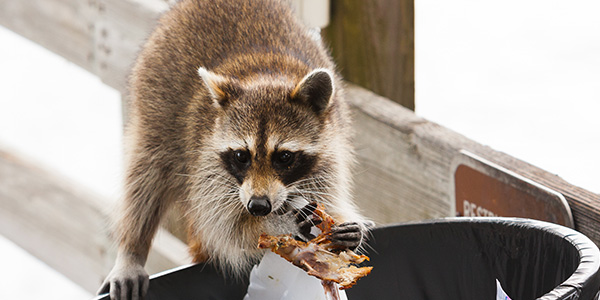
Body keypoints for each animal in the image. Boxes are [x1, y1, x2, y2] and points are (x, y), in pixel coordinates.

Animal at [97, 0, 370, 298]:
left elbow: (328, 196)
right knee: (146, 174)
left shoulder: (330, 153)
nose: (258, 206)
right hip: (155, 101)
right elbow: (224, 228)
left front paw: (348, 229)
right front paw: (271, 225)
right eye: (242, 156)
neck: (268, 76)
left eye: (284, 157)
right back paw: (132, 250)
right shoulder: (205, 161)